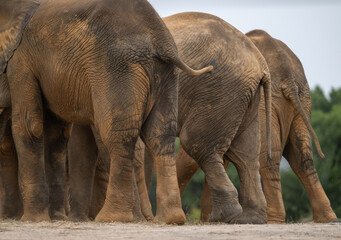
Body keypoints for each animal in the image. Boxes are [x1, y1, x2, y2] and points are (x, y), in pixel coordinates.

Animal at [0, 0, 212, 223]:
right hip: (165, 74)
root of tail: (162, 42)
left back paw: (112, 216)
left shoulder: (20, 57)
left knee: (116, 136)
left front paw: (33, 219)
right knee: (160, 136)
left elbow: (28, 124)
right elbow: (55, 134)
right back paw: (170, 219)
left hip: (117, 69)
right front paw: (56, 218)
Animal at [198, 29, 336, 223]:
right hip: (302, 99)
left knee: (269, 156)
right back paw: (328, 218)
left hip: (267, 101)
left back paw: (272, 220)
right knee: (302, 157)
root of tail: (287, 75)